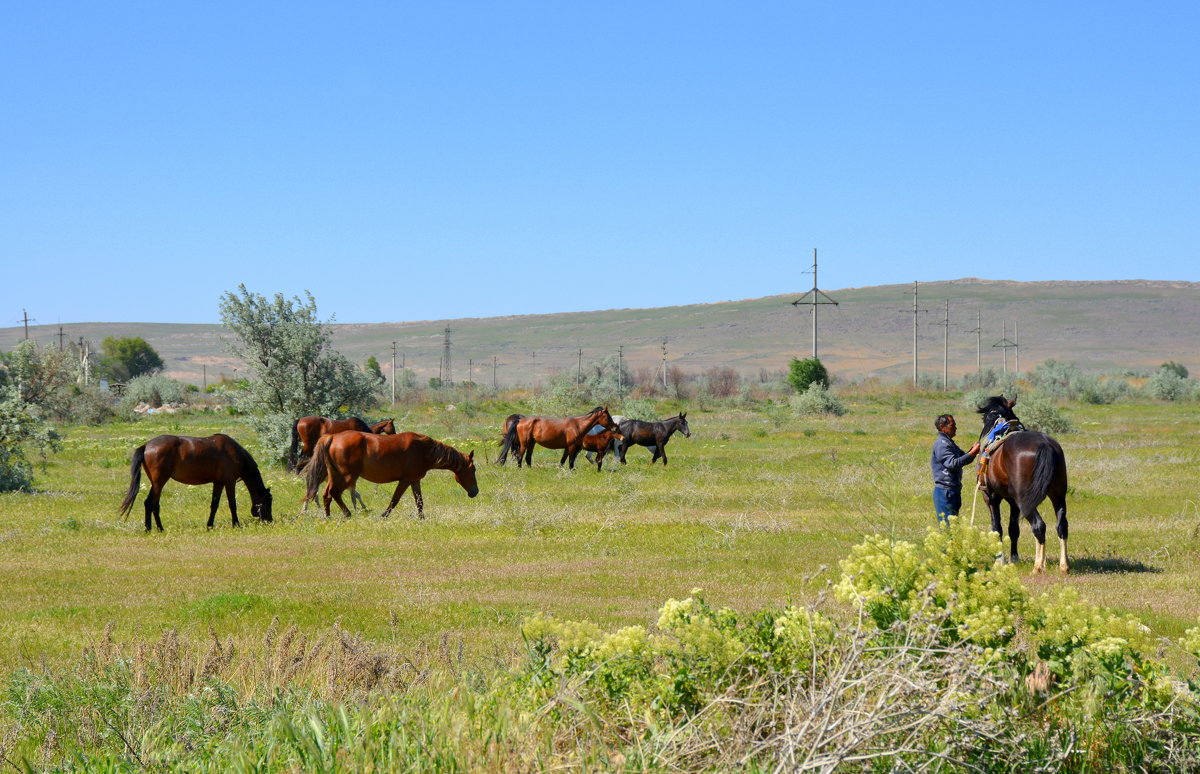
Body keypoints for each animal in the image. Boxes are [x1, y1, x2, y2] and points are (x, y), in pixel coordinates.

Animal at [117, 432, 274, 535]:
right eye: (268, 501)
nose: (270, 521)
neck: (235, 453)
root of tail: (147, 445)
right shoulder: (229, 482)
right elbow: (232, 504)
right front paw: (236, 524)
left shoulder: (218, 483)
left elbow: (214, 505)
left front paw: (209, 526)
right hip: (159, 482)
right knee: (150, 503)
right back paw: (149, 529)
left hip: (158, 483)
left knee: (155, 505)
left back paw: (160, 529)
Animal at [304, 429, 477, 518]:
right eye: (474, 469)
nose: (475, 492)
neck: (424, 449)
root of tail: (332, 437)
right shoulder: (405, 480)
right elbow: (395, 500)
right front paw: (384, 516)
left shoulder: (415, 480)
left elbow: (419, 501)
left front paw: (422, 518)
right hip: (346, 476)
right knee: (334, 493)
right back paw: (347, 514)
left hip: (334, 475)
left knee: (327, 494)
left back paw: (328, 516)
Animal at [974, 396, 1070, 571]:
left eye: (985, 417)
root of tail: (1045, 444)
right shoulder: (1013, 502)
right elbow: (1013, 529)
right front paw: (1015, 558)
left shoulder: (990, 497)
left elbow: (997, 528)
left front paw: (1000, 560)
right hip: (1058, 496)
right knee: (1062, 526)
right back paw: (1063, 565)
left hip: (1024, 499)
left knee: (1039, 525)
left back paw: (1038, 566)